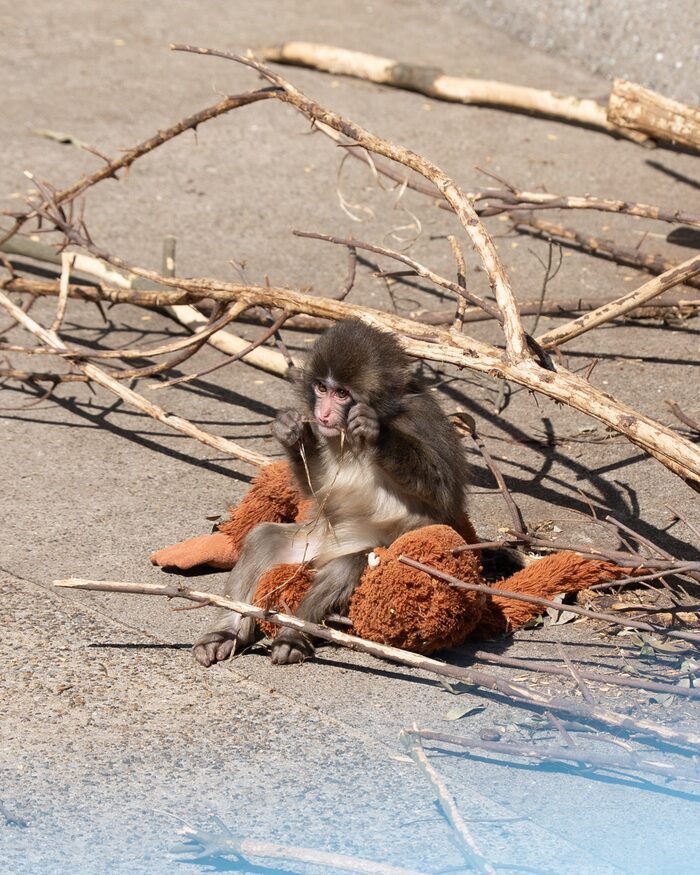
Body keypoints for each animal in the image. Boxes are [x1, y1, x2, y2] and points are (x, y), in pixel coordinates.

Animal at [193, 318, 469, 667]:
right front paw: (292, 431)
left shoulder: (423, 419)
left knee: (346, 565)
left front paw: (376, 434)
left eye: (342, 394)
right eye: (322, 389)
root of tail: (323, 554)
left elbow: (445, 496)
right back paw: (229, 631)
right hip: (312, 541)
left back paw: (293, 636)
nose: (323, 415)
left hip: (366, 551)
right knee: (263, 539)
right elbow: (320, 485)